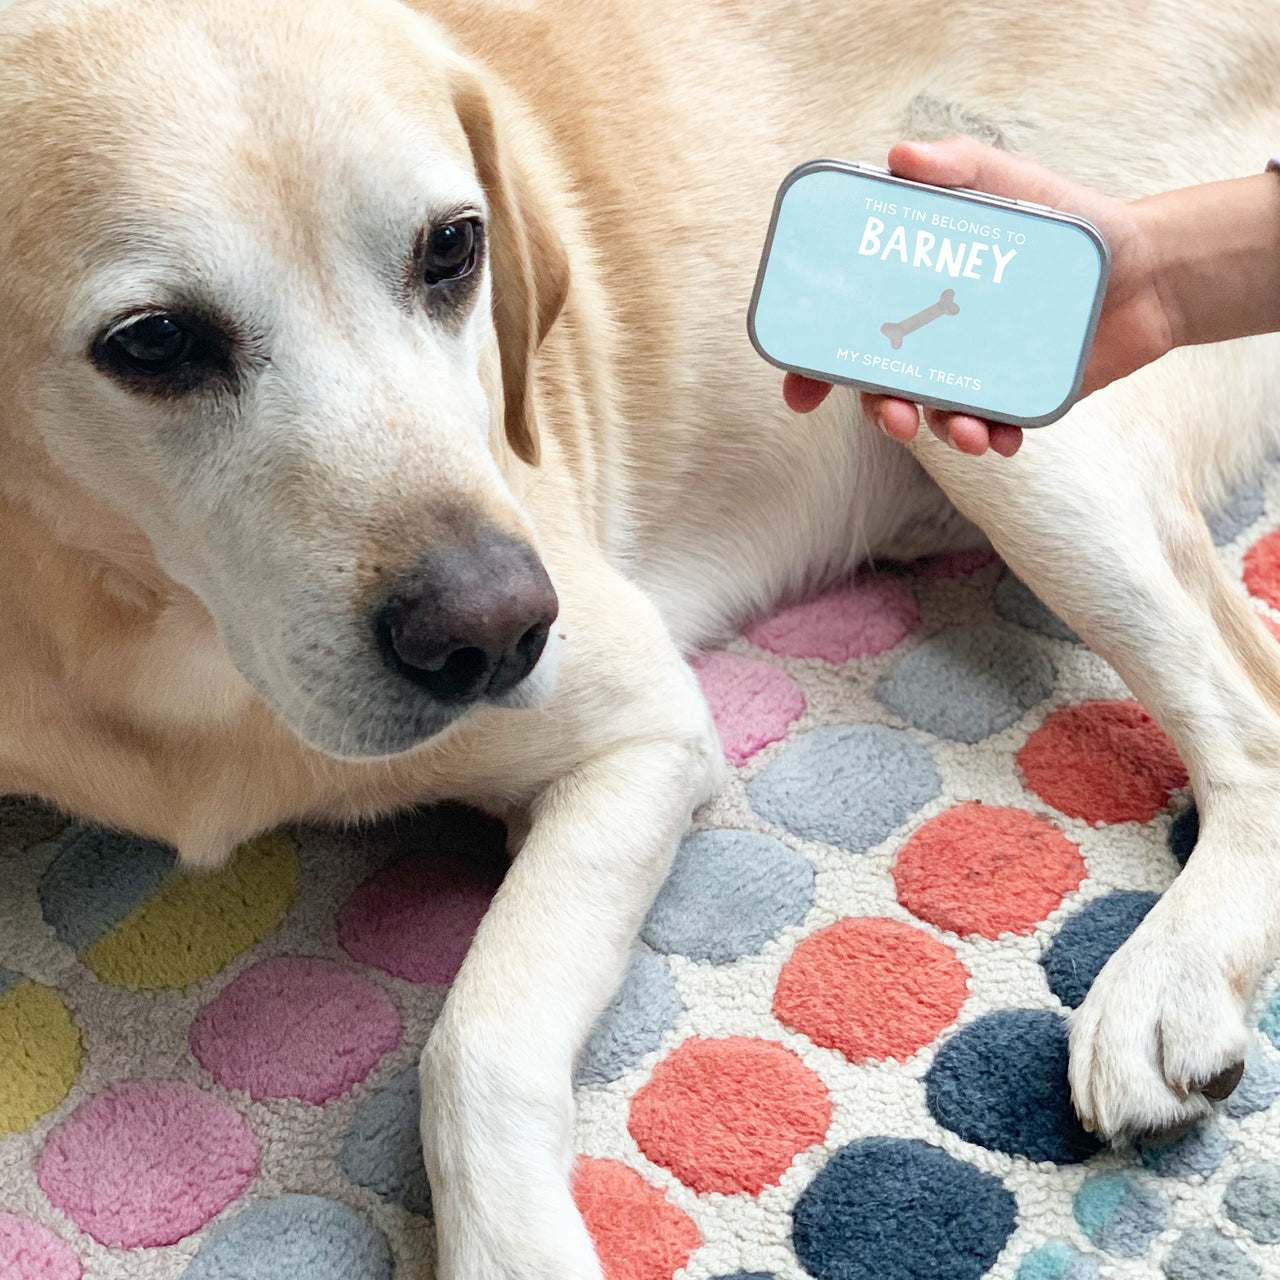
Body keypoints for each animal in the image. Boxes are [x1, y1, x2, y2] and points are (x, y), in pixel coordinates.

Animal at [7, 0, 1280, 1274]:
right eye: (153, 342)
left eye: (451, 248)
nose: (499, 634)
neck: (148, 622)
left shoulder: (643, 735)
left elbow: (474, 1038)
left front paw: (512, 1246)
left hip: (1003, 405)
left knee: (1252, 717)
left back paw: (1169, 977)